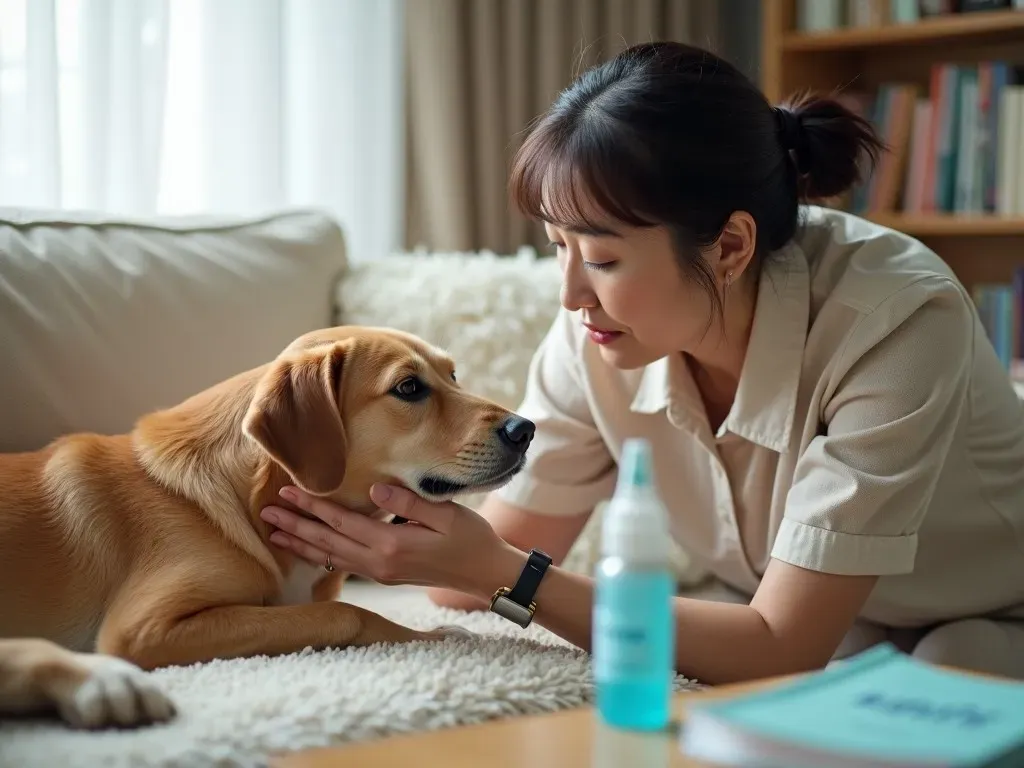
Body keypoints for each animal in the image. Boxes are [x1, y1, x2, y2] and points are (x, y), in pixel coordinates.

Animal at [0, 327, 540, 729]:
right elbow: (347, 614)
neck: (251, 498)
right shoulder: (141, 629)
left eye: (453, 375)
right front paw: (439, 634)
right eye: (408, 388)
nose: (526, 429)